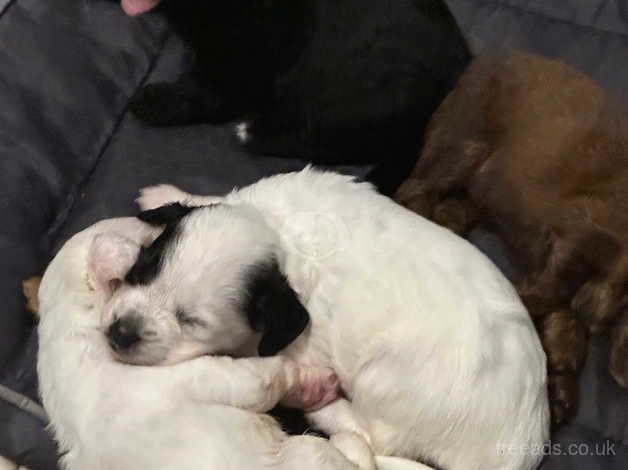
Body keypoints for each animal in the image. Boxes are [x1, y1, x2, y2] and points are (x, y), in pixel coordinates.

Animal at [38, 217, 432, 470]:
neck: (71, 326)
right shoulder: (216, 377)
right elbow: (272, 375)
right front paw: (316, 382)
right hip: (310, 454)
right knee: (354, 456)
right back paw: (350, 439)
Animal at [100, 170, 548, 470]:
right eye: (141, 269)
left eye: (192, 323)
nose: (119, 333)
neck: (277, 239)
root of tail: (519, 443)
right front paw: (168, 195)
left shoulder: (297, 345)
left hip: (384, 380)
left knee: (373, 434)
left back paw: (324, 404)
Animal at [394, 50, 628, 426]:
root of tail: (483, 59)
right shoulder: (578, 234)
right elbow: (548, 294)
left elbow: (568, 330)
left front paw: (560, 391)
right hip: (462, 149)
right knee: (412, 193)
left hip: (471, 197)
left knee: (444, 214)